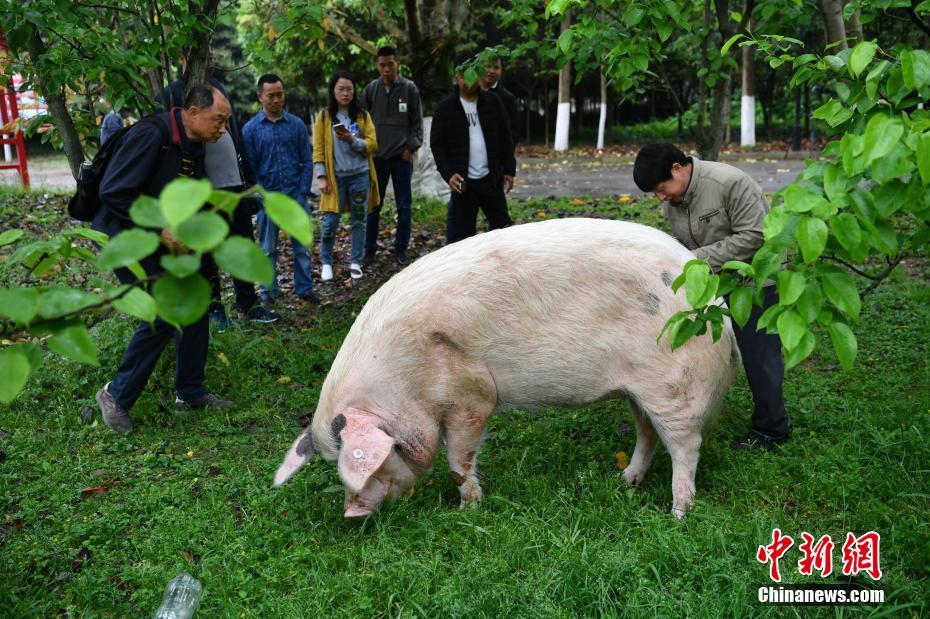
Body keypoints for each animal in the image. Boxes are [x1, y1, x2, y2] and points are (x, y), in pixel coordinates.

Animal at [272, 218, 736, 520]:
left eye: (364, 462)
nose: (352, 513)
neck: (401, 383)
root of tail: (717, 303)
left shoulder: (472, 395)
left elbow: (459, 460)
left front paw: (467, 512)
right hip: (638, 390)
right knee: (646, 432)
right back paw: (625, 481)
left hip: (674, 386)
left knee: (685, 446)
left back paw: (678, 515)